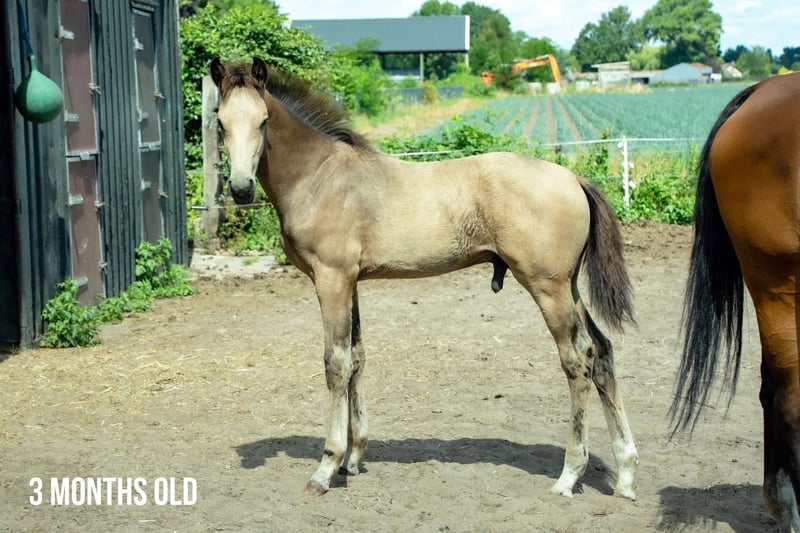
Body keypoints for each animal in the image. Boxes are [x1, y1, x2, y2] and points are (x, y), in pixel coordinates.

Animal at [210, 57, 639, 499]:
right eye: (220, 121)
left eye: (263, 120)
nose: (240, 189)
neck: (318, 176)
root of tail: (573, 179)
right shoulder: (351, 282)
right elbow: (358, 358)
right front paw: (354, 457)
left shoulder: (330, 279)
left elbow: (336, 363)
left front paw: (327, 467)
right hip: (568, 287)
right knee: (602, 350)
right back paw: (625, 473)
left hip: (547, 288)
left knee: (577, 359)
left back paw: (570, 474)